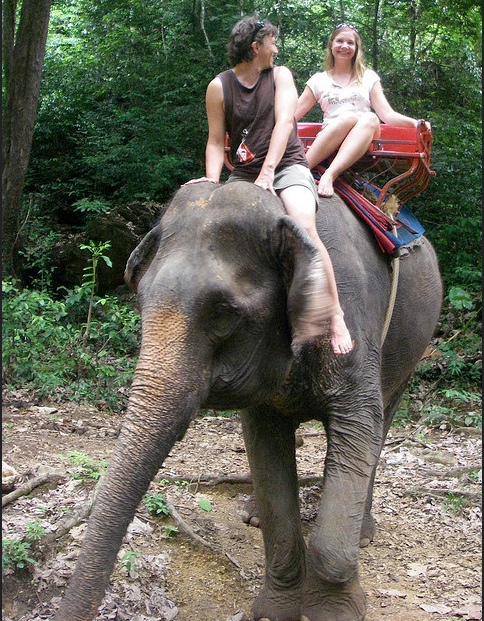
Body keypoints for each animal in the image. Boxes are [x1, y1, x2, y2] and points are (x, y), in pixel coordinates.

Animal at [52, 180, 442, 620]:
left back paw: (363, 533)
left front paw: (334, 611)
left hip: (409, 354)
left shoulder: (353, 326)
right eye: (141, 298)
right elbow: (267, 454)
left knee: (383, 423)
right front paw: (275, 610)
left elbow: (359, 428)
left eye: (223, 313)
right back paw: (253, 513)